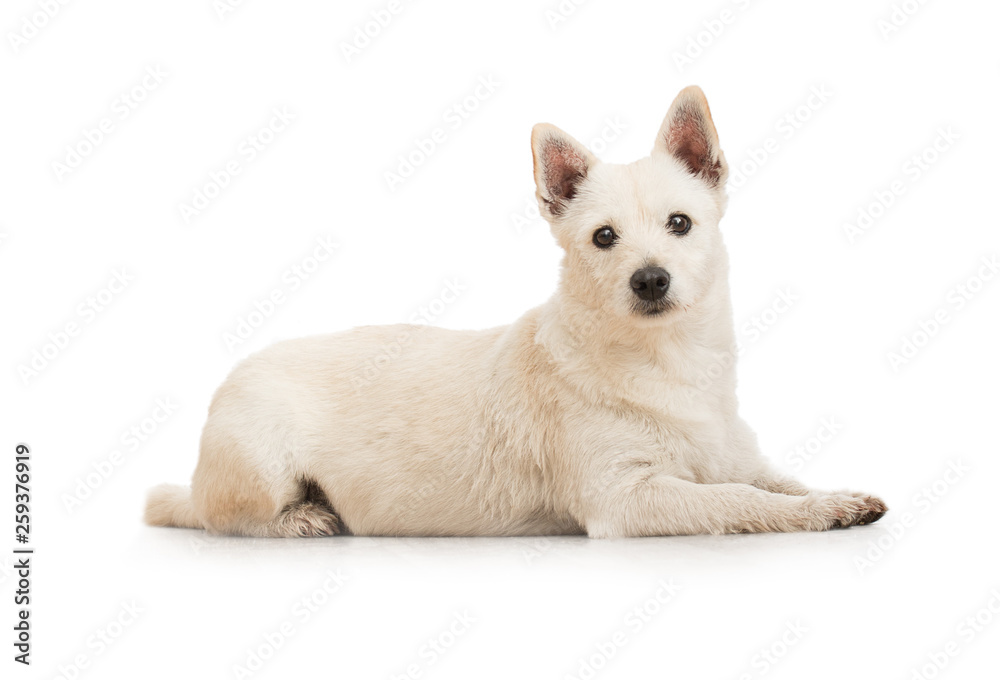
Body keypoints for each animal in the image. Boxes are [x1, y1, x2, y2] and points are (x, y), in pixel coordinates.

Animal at [145, 86, 888, 536]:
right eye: (604, 238)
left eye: (680, 223)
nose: (651, 279)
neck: (669, 361)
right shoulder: (630, 499)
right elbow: (742, 503)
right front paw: (811, 516)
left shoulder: (737, 458)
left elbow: (777, 483)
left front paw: (833, 499)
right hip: (259, 463)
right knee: (221, 516)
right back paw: (301, 517)